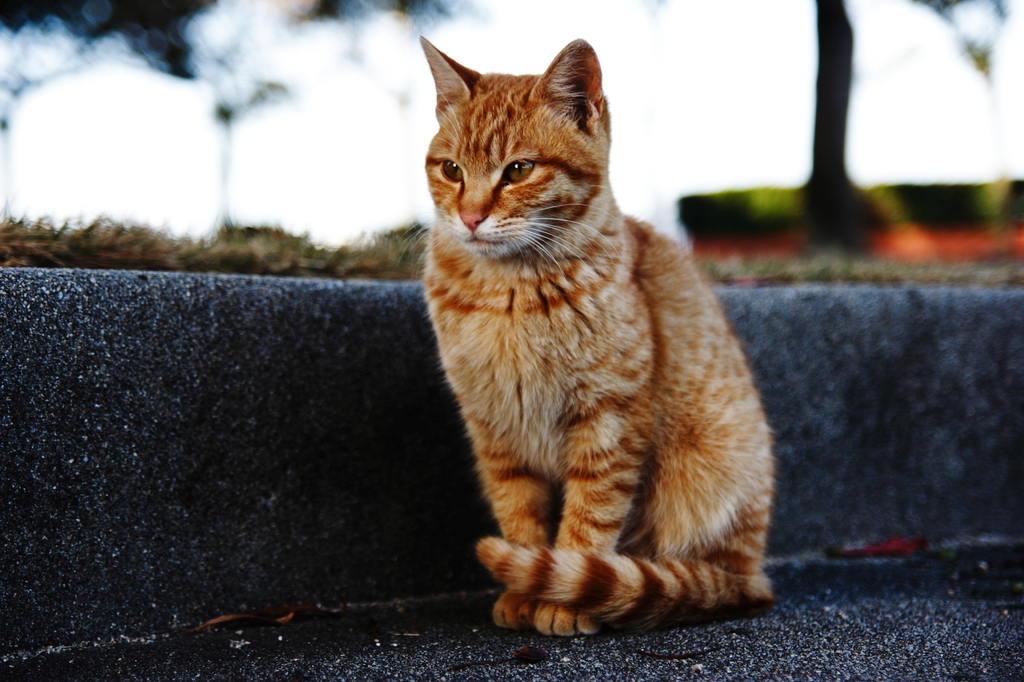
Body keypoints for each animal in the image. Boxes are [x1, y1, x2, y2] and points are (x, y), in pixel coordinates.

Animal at [419, 35, 770, 630]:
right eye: (451, 169)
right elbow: (519, 515)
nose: (469, 218)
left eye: (518, 170)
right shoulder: (495, 426)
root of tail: (753, 573)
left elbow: (590, 515)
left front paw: (563, 598)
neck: (509, 294)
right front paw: (524, 589)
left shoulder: (611, 417)